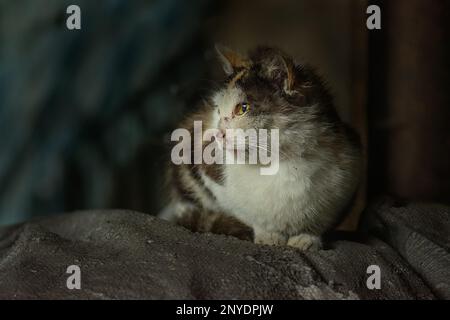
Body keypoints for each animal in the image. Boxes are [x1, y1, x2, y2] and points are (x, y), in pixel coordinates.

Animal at [160, 45, 364, 250]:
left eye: (243, 108)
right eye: (218, 110)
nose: (218, 133)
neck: (281, 163)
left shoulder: (349, 172)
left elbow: (320, 219)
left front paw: (307, 238)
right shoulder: (206, 168)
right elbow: (245, 211)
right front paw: (268, 235)